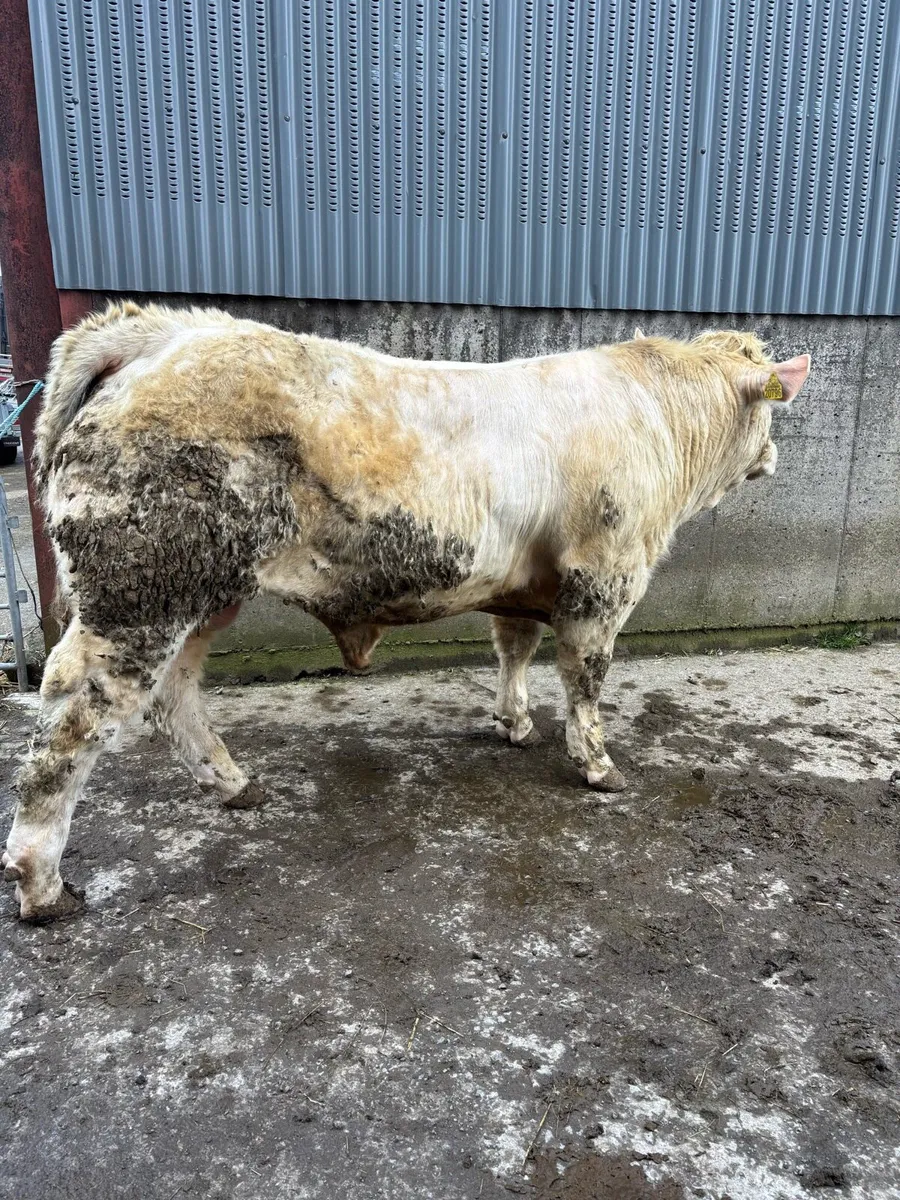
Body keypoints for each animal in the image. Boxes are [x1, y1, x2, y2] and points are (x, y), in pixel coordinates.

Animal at [2, 303, 810, 921]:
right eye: (771, 411)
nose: (774, 458)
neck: (658, 422)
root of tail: (166, 333)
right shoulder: (603, 575)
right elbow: (586, 676)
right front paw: (597, 764)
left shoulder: (526, 580)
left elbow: (514, 647)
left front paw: (513, 723)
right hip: (141, 591)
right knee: (74, 714)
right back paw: (43, 885)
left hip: (202, 593)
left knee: (174, 694)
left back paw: (234, 785)